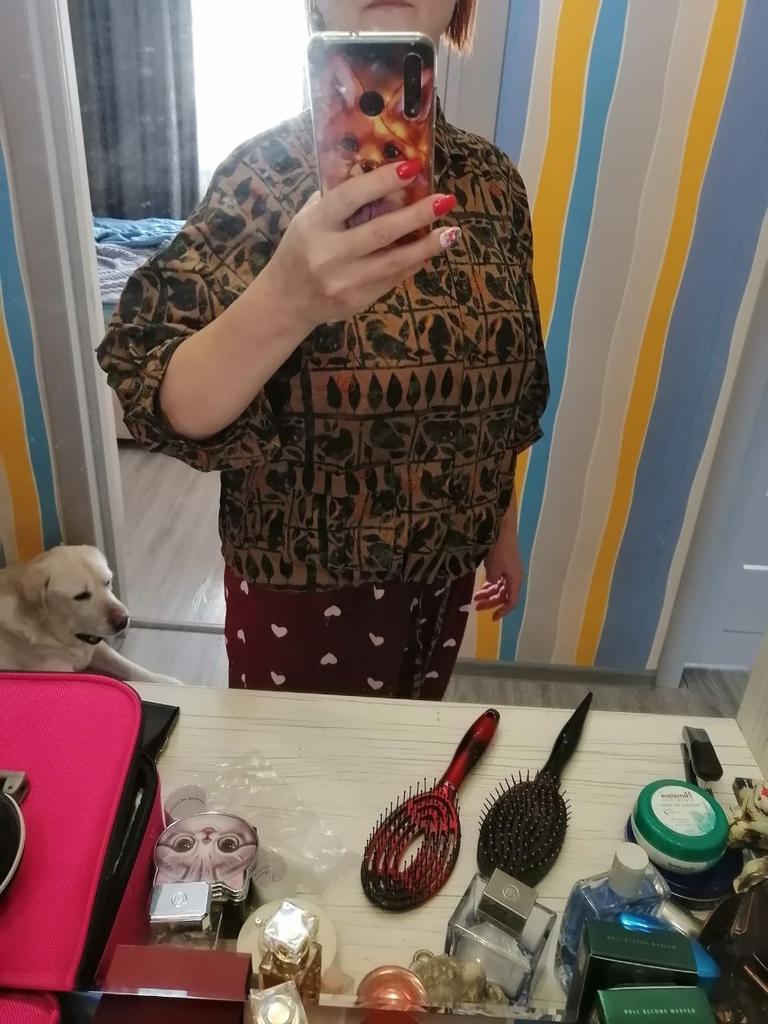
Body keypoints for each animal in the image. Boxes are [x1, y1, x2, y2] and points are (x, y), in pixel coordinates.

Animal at [0, 545, 180, 685]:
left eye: (107, 581)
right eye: (81, 596)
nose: (123, 620)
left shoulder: (97, 647)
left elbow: (127, 665)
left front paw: (164, 681)